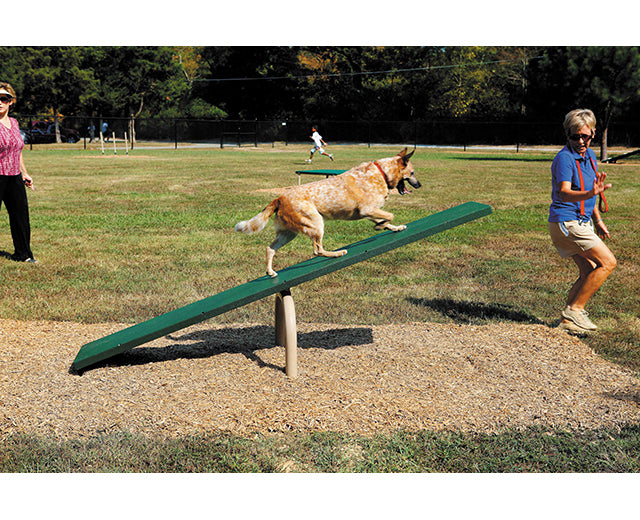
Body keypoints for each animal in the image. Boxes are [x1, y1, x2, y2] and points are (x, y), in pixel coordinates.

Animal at [235, 147, 420, 276]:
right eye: (412, 173)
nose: (419, 185)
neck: (382, 173)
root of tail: (279, 198)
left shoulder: (369, 212)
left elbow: (387, 220)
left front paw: (394, 227)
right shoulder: (367, 209)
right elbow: (389, 215)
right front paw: (380, 226)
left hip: (288, 233)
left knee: (270, 249)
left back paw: (271, 272)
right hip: (316, 223)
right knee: (317, 250)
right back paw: (337, 253)